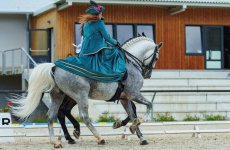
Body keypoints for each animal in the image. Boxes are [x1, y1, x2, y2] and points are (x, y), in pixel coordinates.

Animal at [12, 35, 162, 147]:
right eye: (156, 57)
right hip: (80, 96)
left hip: (59, 96)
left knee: (53, 115)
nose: (147, 74)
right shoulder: (134, 94)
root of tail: (54, 67)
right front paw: (138, 123)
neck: (130, 63)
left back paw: (57, 141)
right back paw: (97, 138)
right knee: (82, 116)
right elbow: (148, 106)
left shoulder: (125, 98)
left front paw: (140, 136)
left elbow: (132, 114)